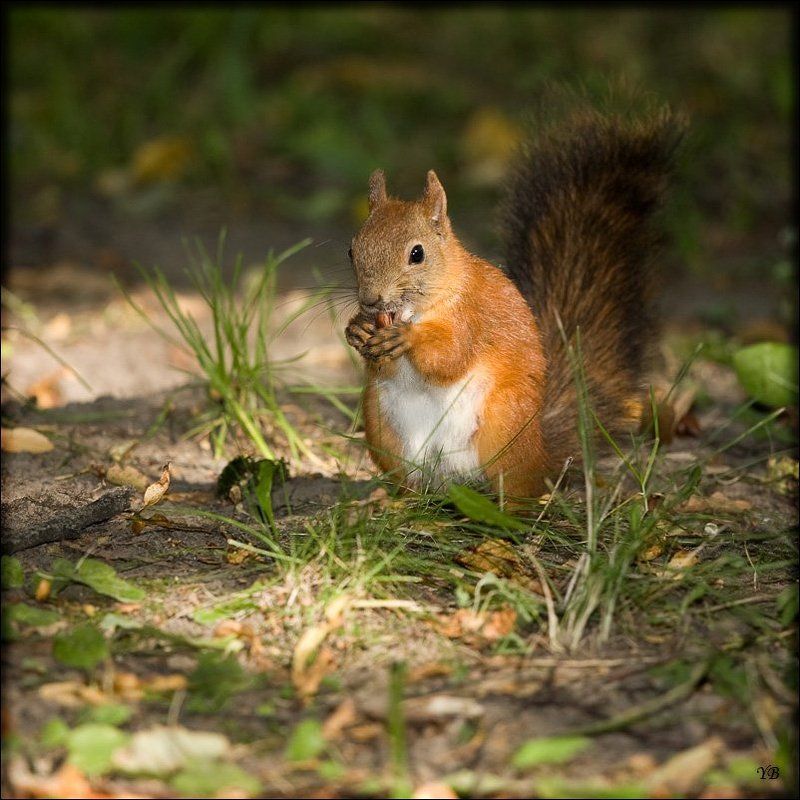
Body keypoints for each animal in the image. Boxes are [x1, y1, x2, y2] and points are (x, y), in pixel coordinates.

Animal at [345, 100, 684, 499]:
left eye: (417, 254)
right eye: (352, 251)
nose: (370, 300)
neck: (419, 308)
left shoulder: (472, 317)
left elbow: (450, 356)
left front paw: (408, 338)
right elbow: (383, 364)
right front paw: (357, 330)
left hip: (504, 424)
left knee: (520, 488)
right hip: (381, 424)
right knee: (410, 483)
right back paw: (392, 500)